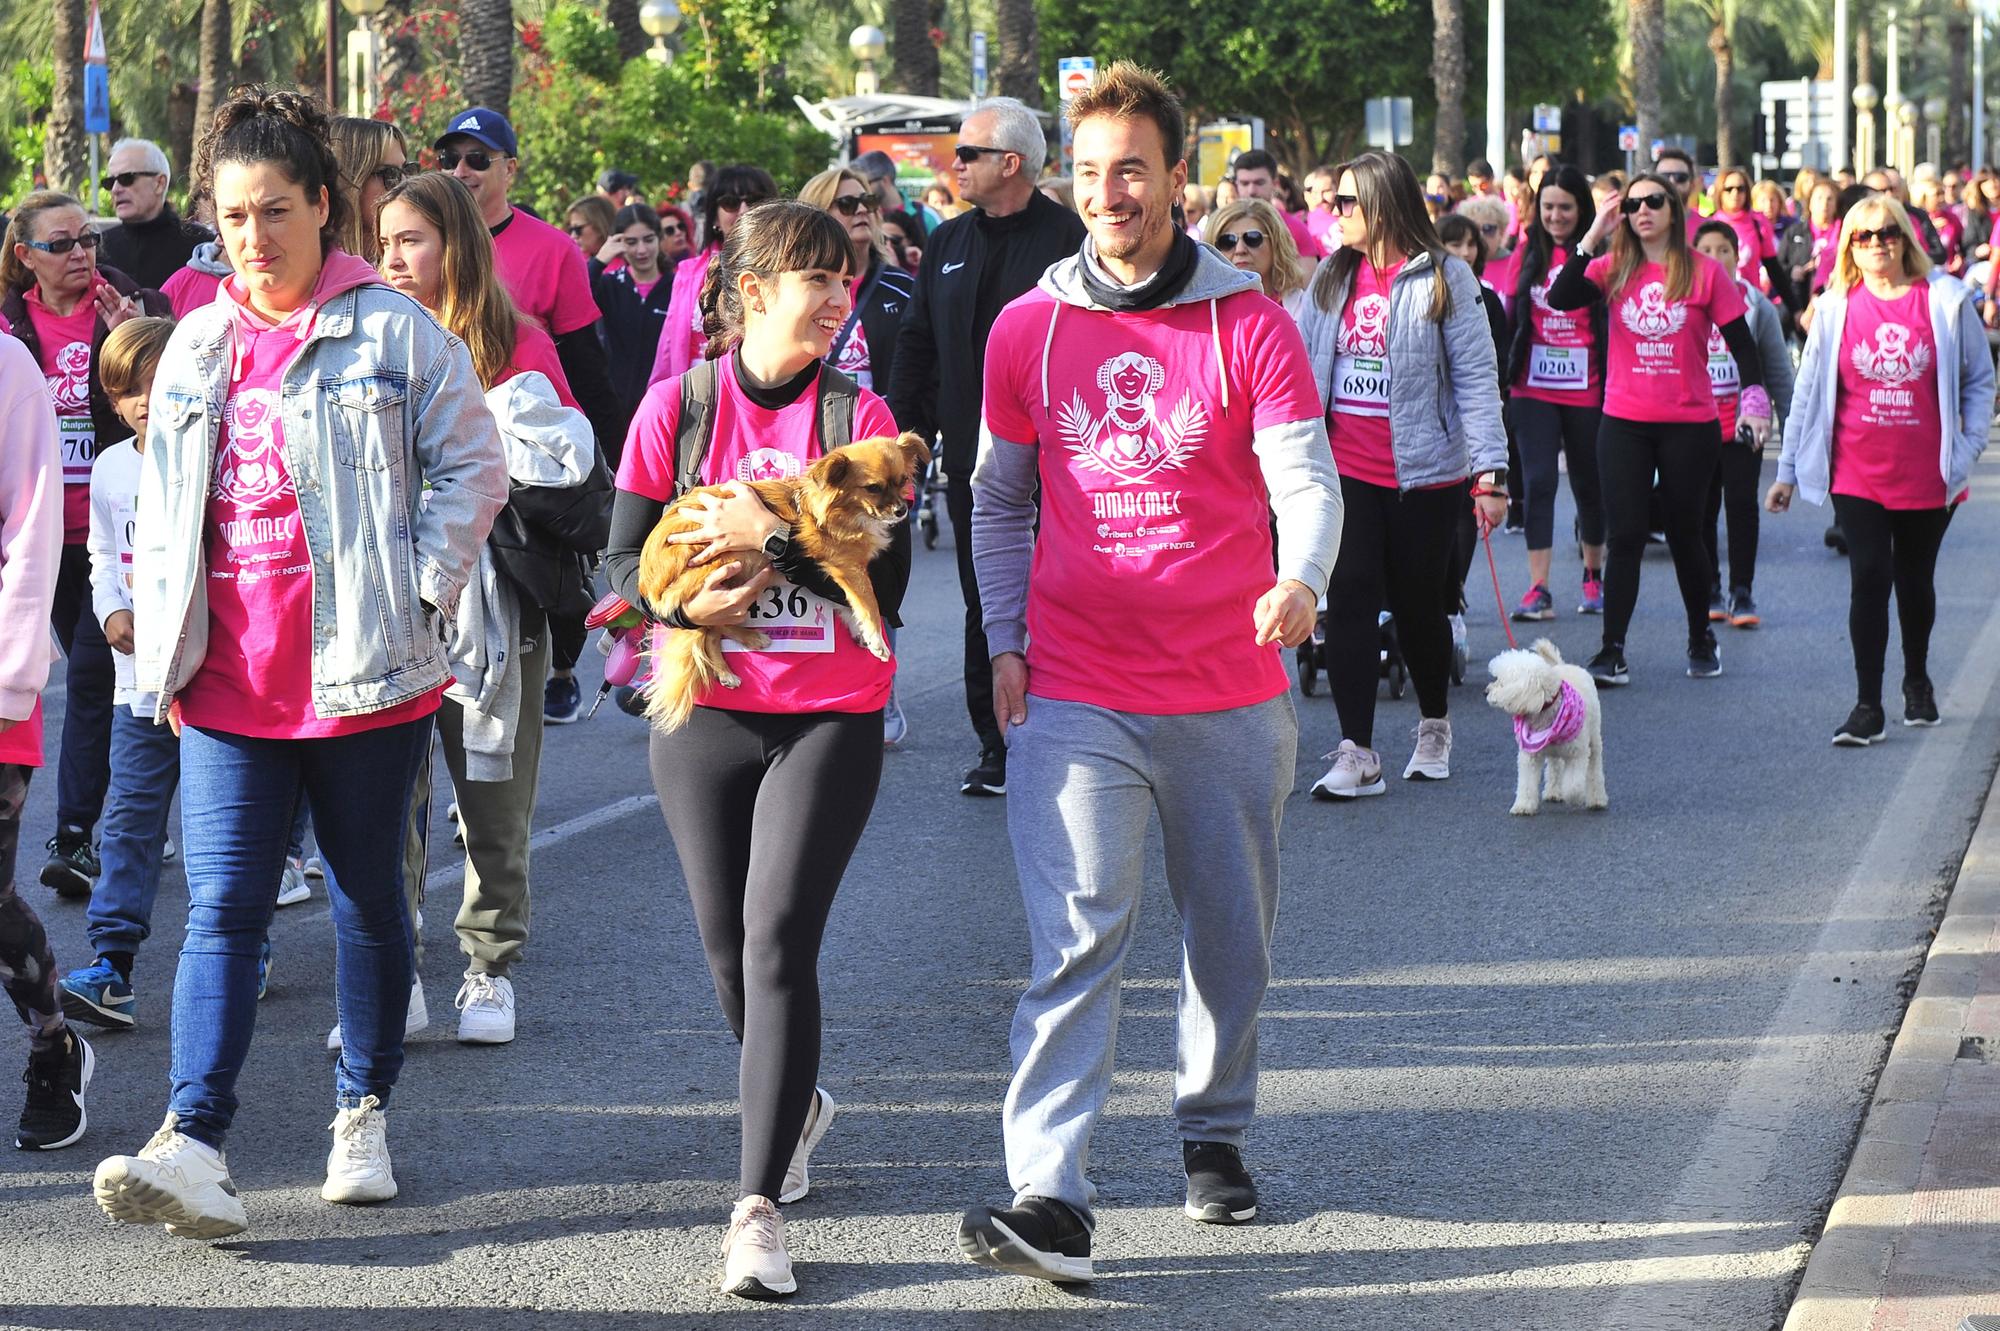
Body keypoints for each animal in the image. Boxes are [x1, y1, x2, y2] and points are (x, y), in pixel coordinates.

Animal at [636, 433, 932, 727]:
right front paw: (875, 638)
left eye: (903, 481)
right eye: (873, 488)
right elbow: (868, 602)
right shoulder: (847, 565)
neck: (848, 512)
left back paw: (729, 667)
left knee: (710, 631)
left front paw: (859, 631)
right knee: (710, 628)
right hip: (733, 562)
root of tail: (648, 578)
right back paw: (746, 647)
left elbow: (847, 604)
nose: (901, 510)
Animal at [1488, 631, 1608, 807]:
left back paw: (1597, 799)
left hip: (1594, 737)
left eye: (1501, 682)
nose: (1485, 691)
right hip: (1554, 752)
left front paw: (1574, 797)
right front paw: (1523, 806)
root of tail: (1564, 665)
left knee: (1594, 766)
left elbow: (1573, 785)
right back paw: (1553, 792)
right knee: (1555, 766)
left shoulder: (1577, 754)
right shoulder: (1529, 755)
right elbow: (1526, 783)